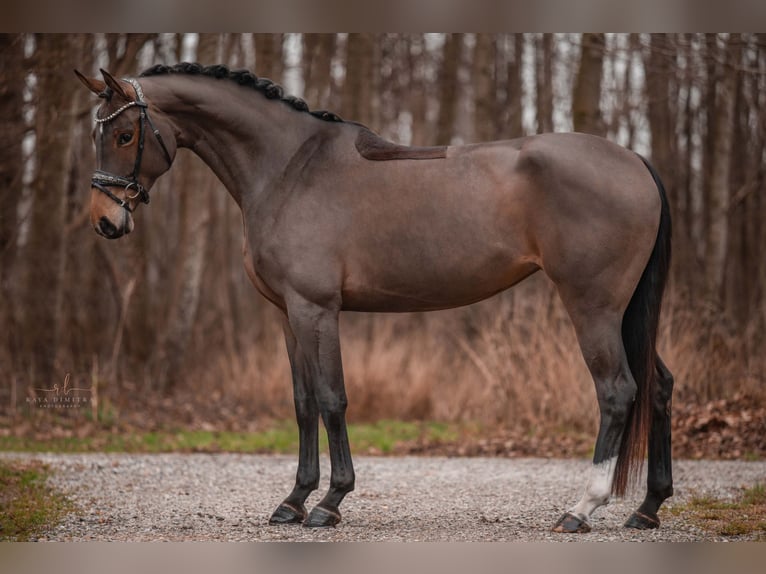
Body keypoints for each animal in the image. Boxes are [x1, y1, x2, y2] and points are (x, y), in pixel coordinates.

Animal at [75, 63, 676, 536]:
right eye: (99, 135)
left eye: (125, 134)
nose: (104, 222)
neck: (288, 167)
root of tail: (635, 160)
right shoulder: (287, 314)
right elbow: (302, 403)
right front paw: (293, 500)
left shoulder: (316, 309)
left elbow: (332, 399)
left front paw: (329, 502)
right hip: (625, 312)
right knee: (658, 386)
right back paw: (647, 508)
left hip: (592, 306)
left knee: (618, 391)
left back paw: (582, 508)